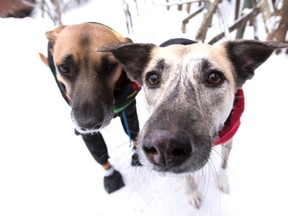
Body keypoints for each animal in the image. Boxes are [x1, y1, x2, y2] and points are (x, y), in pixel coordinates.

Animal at [38, 22, 141, 194]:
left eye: (110, 65)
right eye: (64, 68)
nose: (88, 123)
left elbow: (133, 133)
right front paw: (110, 174)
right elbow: (99, 153)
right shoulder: (88, 134)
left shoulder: (129, 110)